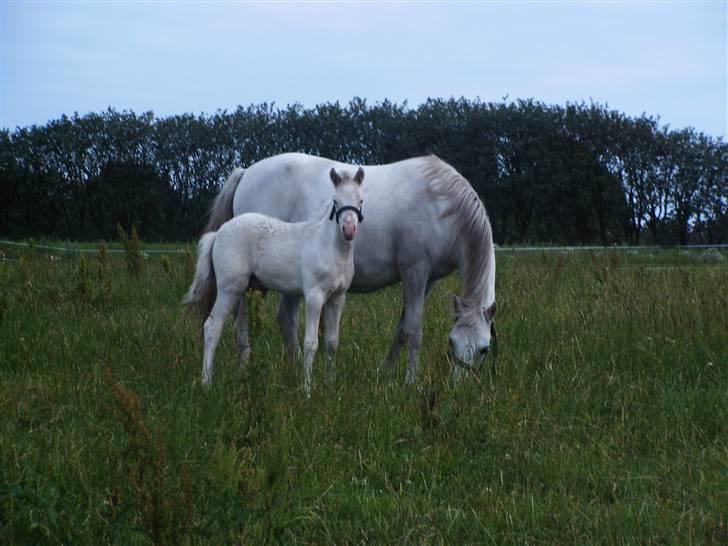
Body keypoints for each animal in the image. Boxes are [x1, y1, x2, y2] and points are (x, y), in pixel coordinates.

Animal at [183, 166, 365, 394]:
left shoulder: (338, 298)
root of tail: (218, 233)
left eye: (360, 200)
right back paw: (206, 383)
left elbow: (332, 342)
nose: (349, 230)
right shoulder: (314, 296)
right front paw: (307, 389)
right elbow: (310, 343)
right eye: (336, 201)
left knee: (238, 331)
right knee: (212, 328)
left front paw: (331, 386)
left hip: (246, 290)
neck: (327, 245)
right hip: (229, 289)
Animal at [205, 153, 497, 383]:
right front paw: (410, 383)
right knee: (240, 324)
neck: (440, 204)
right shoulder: (414, 272)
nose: (459, 386)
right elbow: (414, 331)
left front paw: (384, 373)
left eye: (484, 348)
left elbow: (402, 329)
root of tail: (246, 173)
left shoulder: (429, 280)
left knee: (285, 319)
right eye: (452, 342)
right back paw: (246, 369)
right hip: (249, 284)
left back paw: (294, 369)